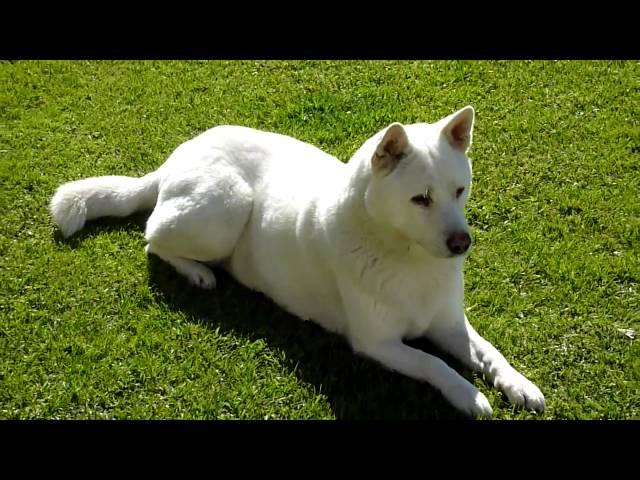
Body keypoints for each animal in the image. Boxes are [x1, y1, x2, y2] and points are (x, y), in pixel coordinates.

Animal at [52, 105, 548, 416]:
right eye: (420, 199)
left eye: (459, 191)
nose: (462, 243)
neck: (405, 255)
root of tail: (179, 155)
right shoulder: (377, 344)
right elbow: (435, 365)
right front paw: (468, 396)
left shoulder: (449, 325)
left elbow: (491, 353)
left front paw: (519, 384)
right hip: (227, 205)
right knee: (153, 236)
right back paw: (197, 272)